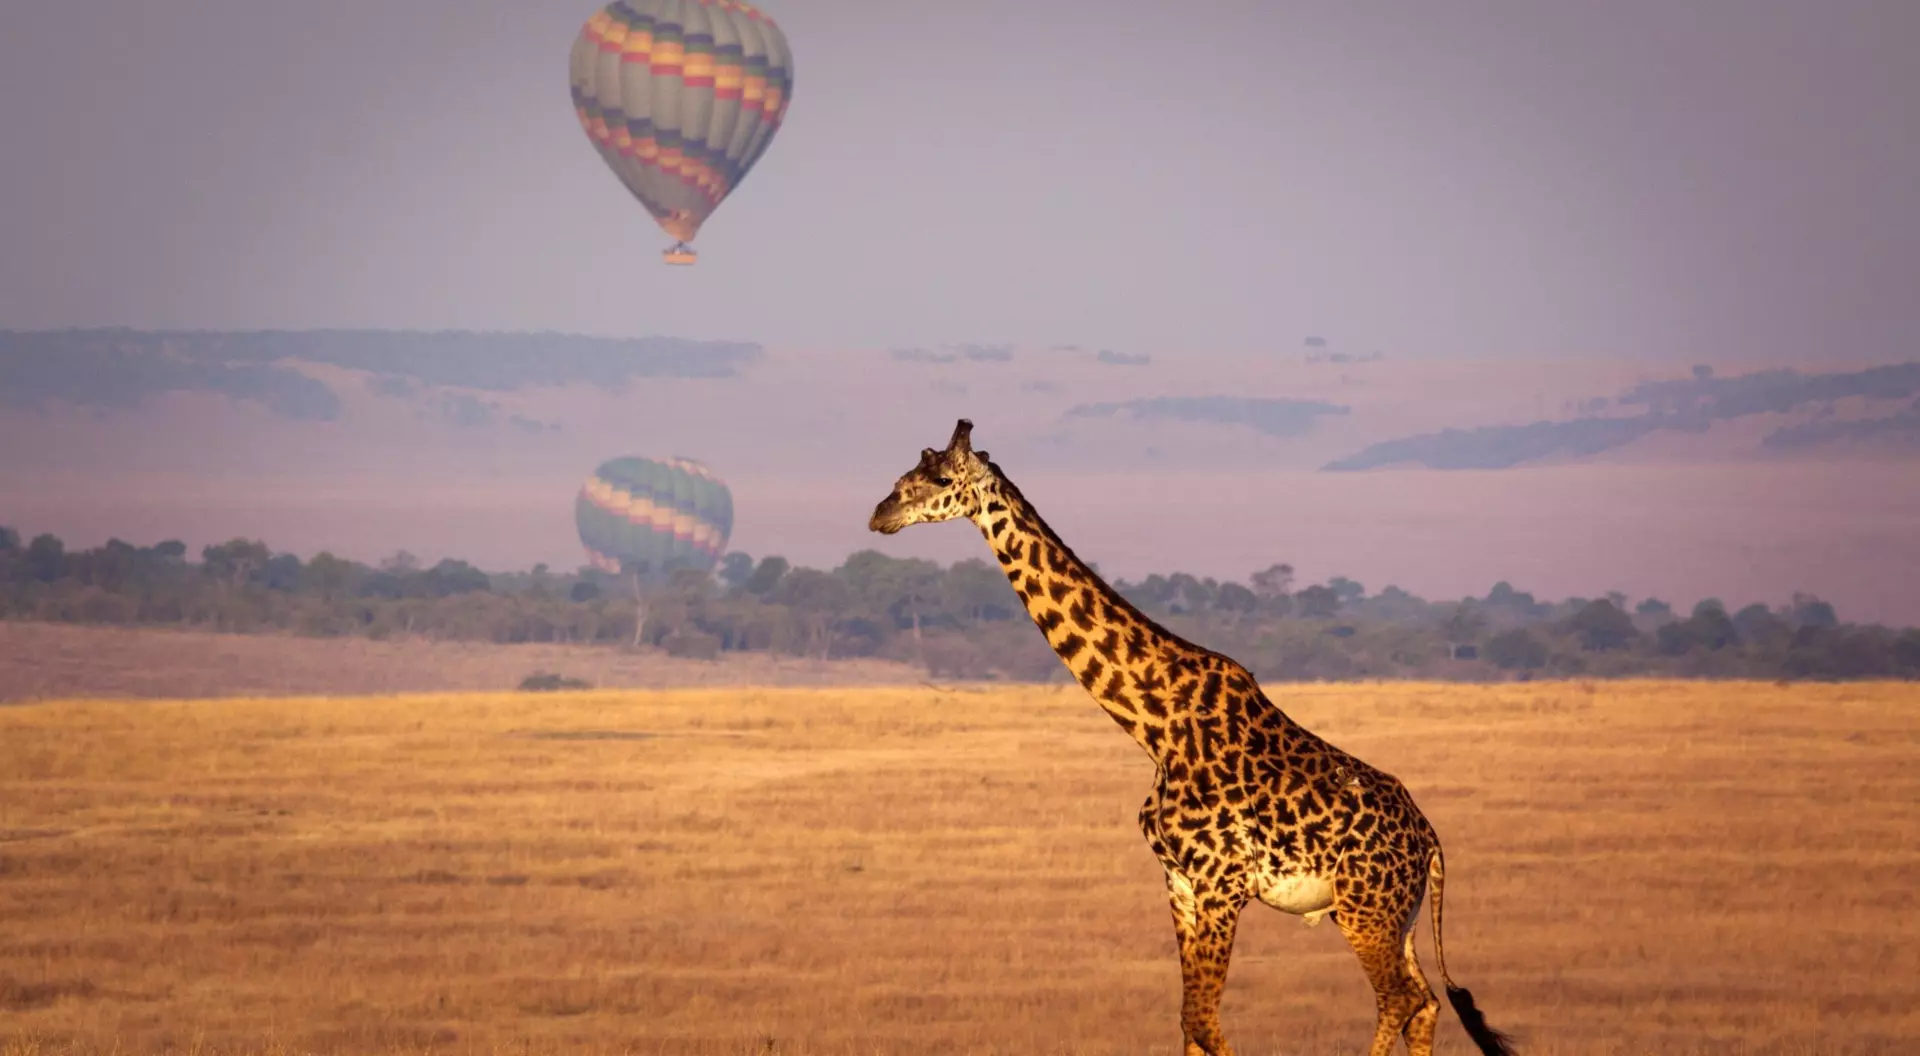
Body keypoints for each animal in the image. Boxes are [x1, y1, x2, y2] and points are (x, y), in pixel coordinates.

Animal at [868, 419, 1517, 1056]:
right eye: (906, 472)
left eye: (940, 479)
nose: (880, 514)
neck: (1155, 726)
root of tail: (1431, 842)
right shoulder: (1179, 881)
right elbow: (1189, 1023)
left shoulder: (1221, 883)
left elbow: (1203, 1020)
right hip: (1389, 915)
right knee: (1425, 1002)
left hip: (1367, 909)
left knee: (1399, 1000)